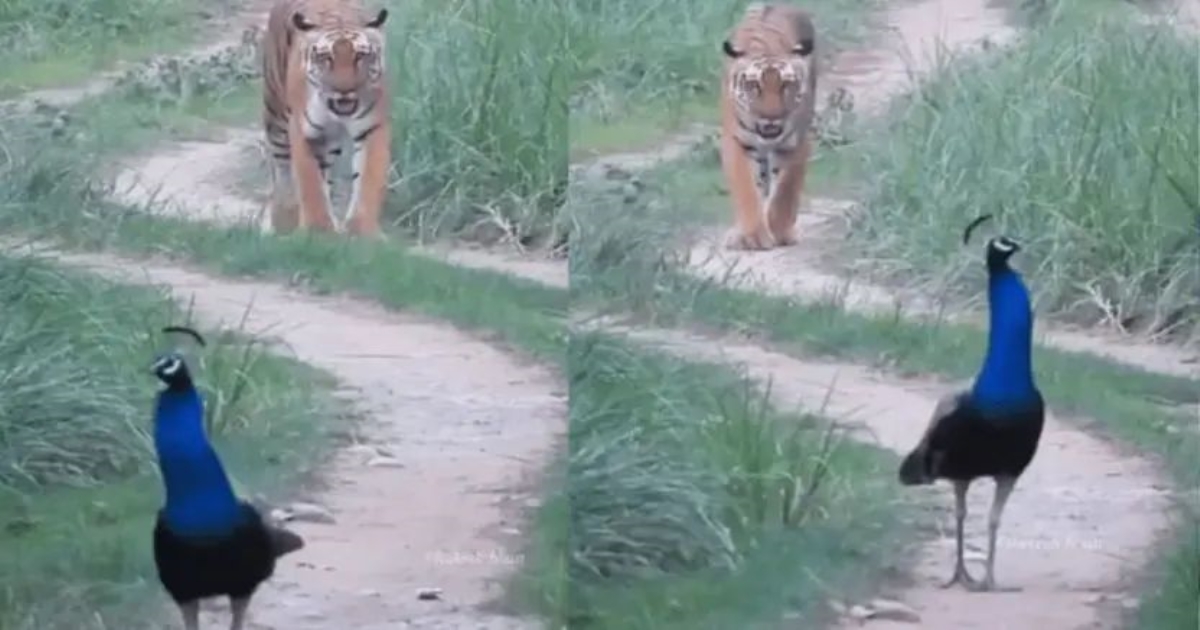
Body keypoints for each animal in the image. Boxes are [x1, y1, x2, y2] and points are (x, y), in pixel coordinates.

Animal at [260, 0, 392, 237]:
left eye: (360, 56)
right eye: (326, 58)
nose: (344, 89)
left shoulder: (372, 128)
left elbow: (368, 179)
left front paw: (363, 231)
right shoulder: (303, 131)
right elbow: (309, 182)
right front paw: (316, 231)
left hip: (328, 143)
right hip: (276, 117)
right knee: (281, 169)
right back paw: (283, 221)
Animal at [719, 3, 819, 250]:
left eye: (786, 85)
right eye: (754, 86)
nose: (771, 118)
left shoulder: (798, 141)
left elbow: (786, 190)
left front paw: (781, 231)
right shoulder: (737, 141)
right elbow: (746, 188)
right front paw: (753, 236)